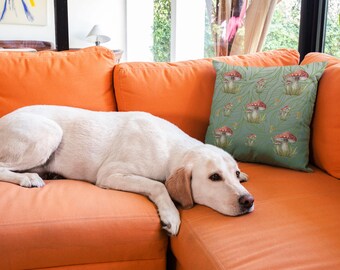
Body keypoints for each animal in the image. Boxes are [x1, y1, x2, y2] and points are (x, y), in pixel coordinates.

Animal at [0, 104, 254, 235]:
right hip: (49, 133)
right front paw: (171, 215)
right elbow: (158, 185)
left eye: (235, 173)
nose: (248, 200)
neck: (171, 147)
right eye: (214, 177)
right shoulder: (110, 174)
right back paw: (28, 178)